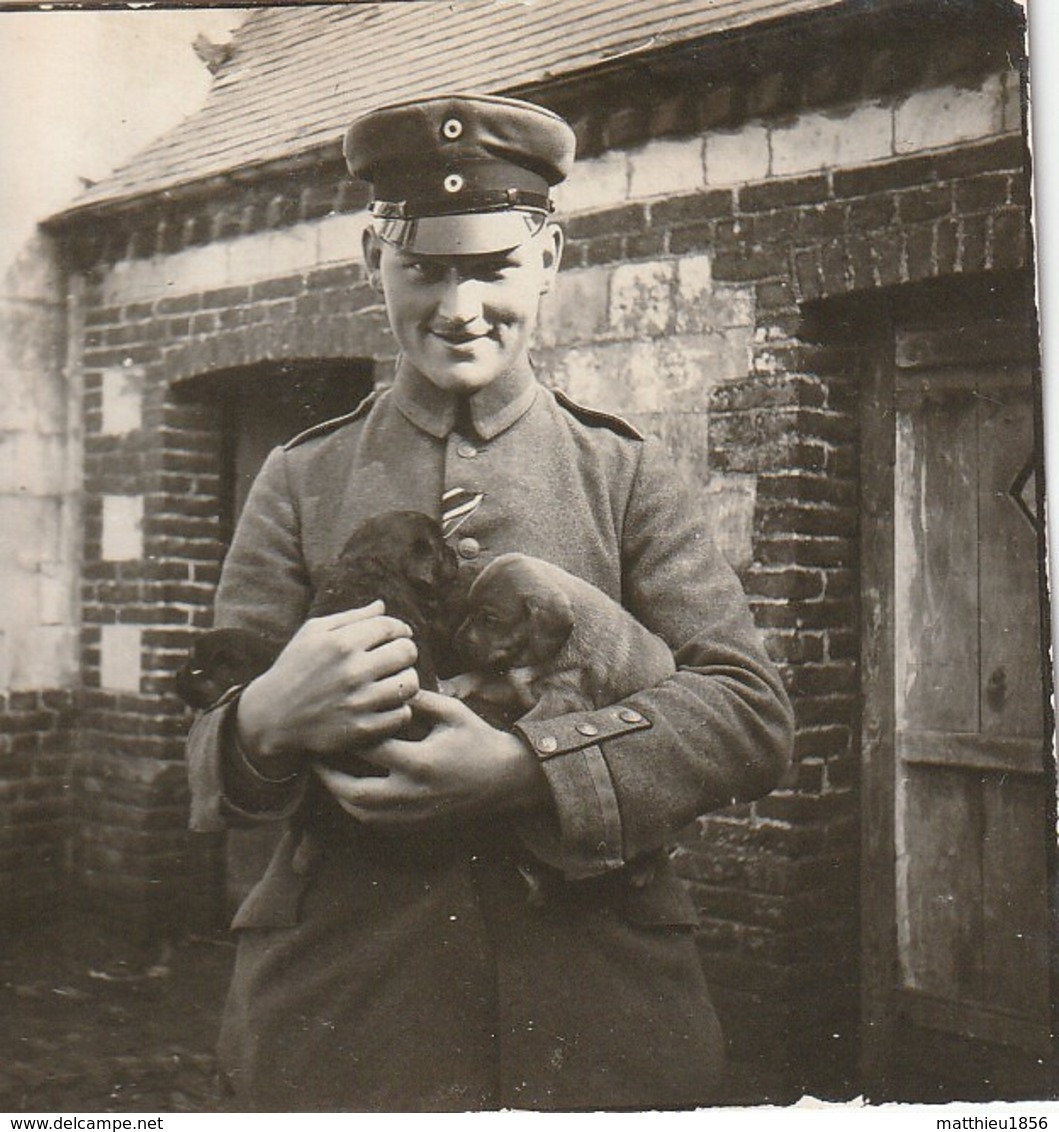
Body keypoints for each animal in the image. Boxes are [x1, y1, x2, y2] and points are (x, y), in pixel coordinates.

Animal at [450, 554, 674, 729]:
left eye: (489, 620)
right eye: (469, 610)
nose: (456, 643)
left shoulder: (563, 699)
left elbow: (525, 722)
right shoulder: (514, 689)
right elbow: (479, 676)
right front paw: (451, 684)